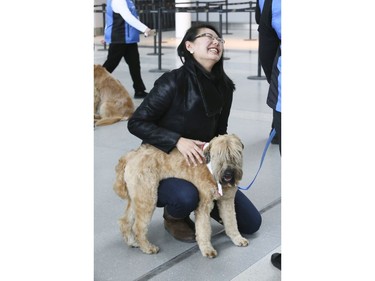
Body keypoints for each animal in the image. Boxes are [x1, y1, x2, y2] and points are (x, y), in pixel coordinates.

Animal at [114, 132, 250, 258]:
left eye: (236, 154)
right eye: (218, 154)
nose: (228, 173)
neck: (210, 168)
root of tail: (130, 156)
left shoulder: (227, 201)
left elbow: (231, 222)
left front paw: (237, 238)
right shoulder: (204, 205)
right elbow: (204, 229)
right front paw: (207, 249)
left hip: (137, 197)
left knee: (125, 221)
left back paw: (133, 242)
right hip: (147, 197)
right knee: (138, 227)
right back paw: (148, 247)